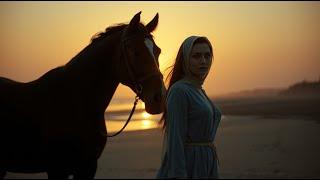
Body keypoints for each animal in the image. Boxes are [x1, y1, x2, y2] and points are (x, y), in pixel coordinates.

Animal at [0, 11, 165, 179]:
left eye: (158, 51)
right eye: (135, 51)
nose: (159, 98)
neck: (76, 102)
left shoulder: (88, 167)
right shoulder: (57, 169)